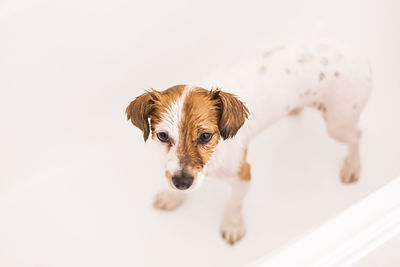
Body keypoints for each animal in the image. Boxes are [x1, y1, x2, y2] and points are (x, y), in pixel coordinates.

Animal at [126, 43, 372, 245]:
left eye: (205, 136)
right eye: (163, 136)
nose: (182, 182)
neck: (213, 160)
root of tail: (356, 54)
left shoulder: (243, 174)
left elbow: (234, 202)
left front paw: (232, 224)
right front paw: (172, 197)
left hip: (338, 124)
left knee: (357, 135)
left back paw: (352, 165)